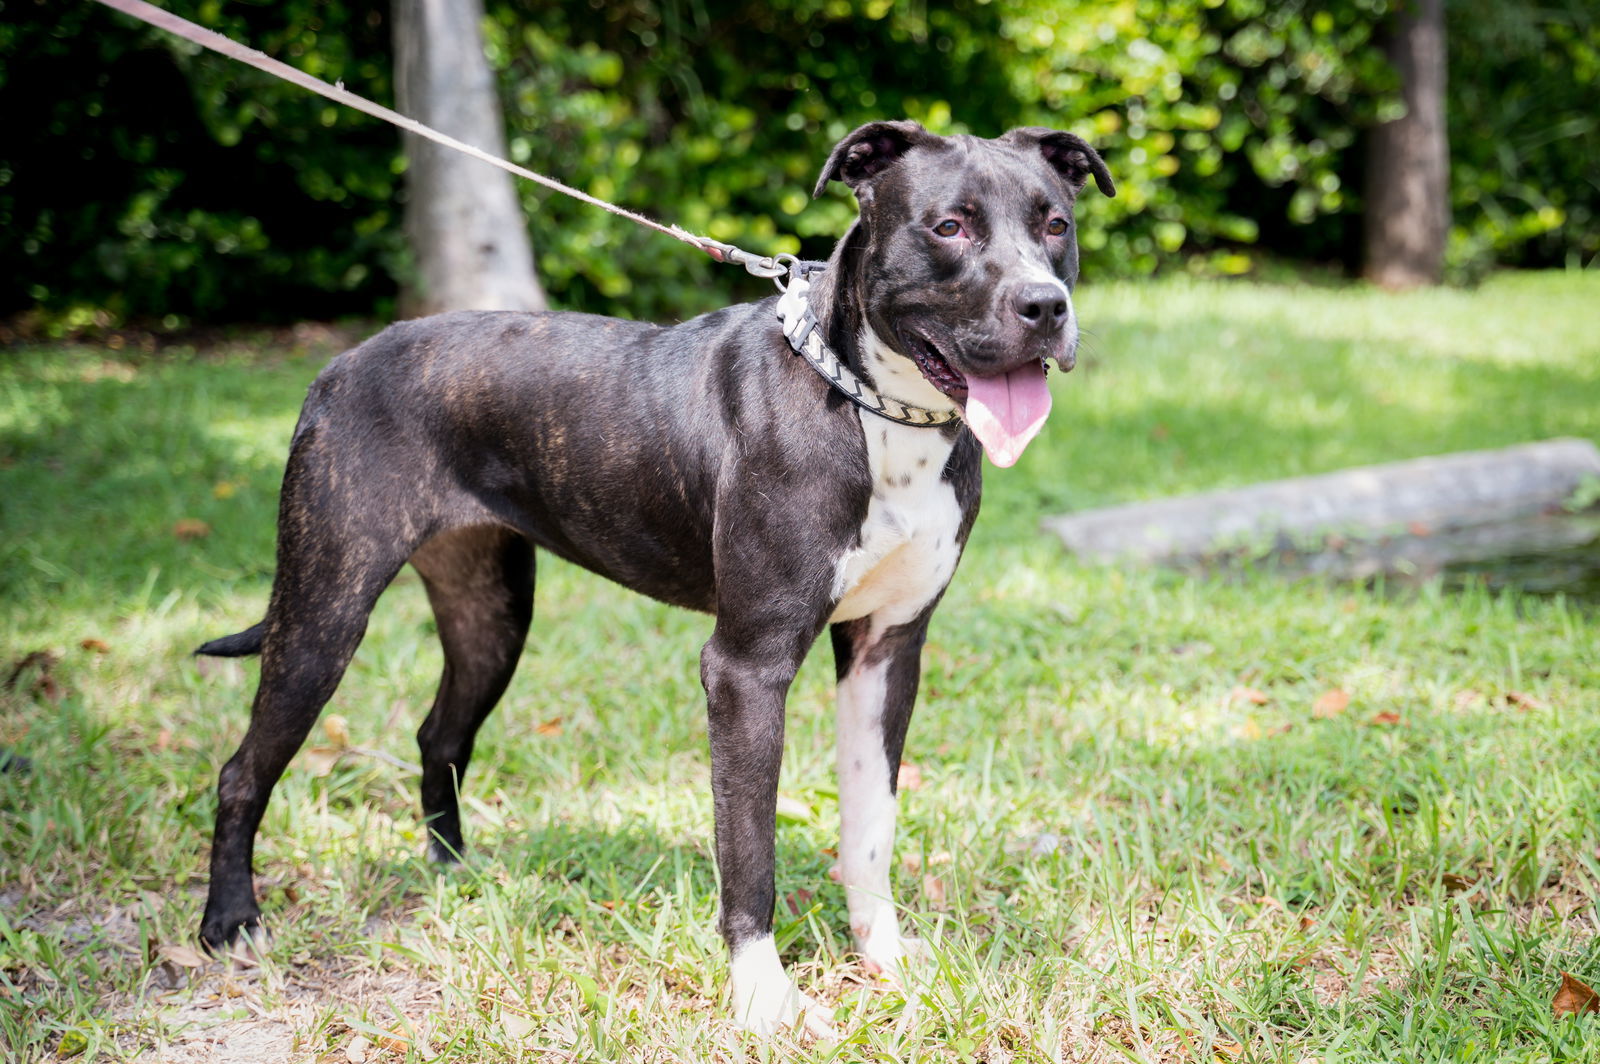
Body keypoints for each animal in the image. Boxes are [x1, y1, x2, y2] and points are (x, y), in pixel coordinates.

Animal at [196, 120, 1113, 1030]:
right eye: (949, 226)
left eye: (1056, 225)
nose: (1044, 307)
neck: (877, 410)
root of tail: (338, 366)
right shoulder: (746, 667)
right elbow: (748, 850)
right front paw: (767, 998)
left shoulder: (888, 650)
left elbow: (871, 824)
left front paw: (882, 955)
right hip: (324, 610)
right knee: (244, 771)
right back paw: (231, 926)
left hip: (491, 612)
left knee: (440, 735)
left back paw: (456, 876)